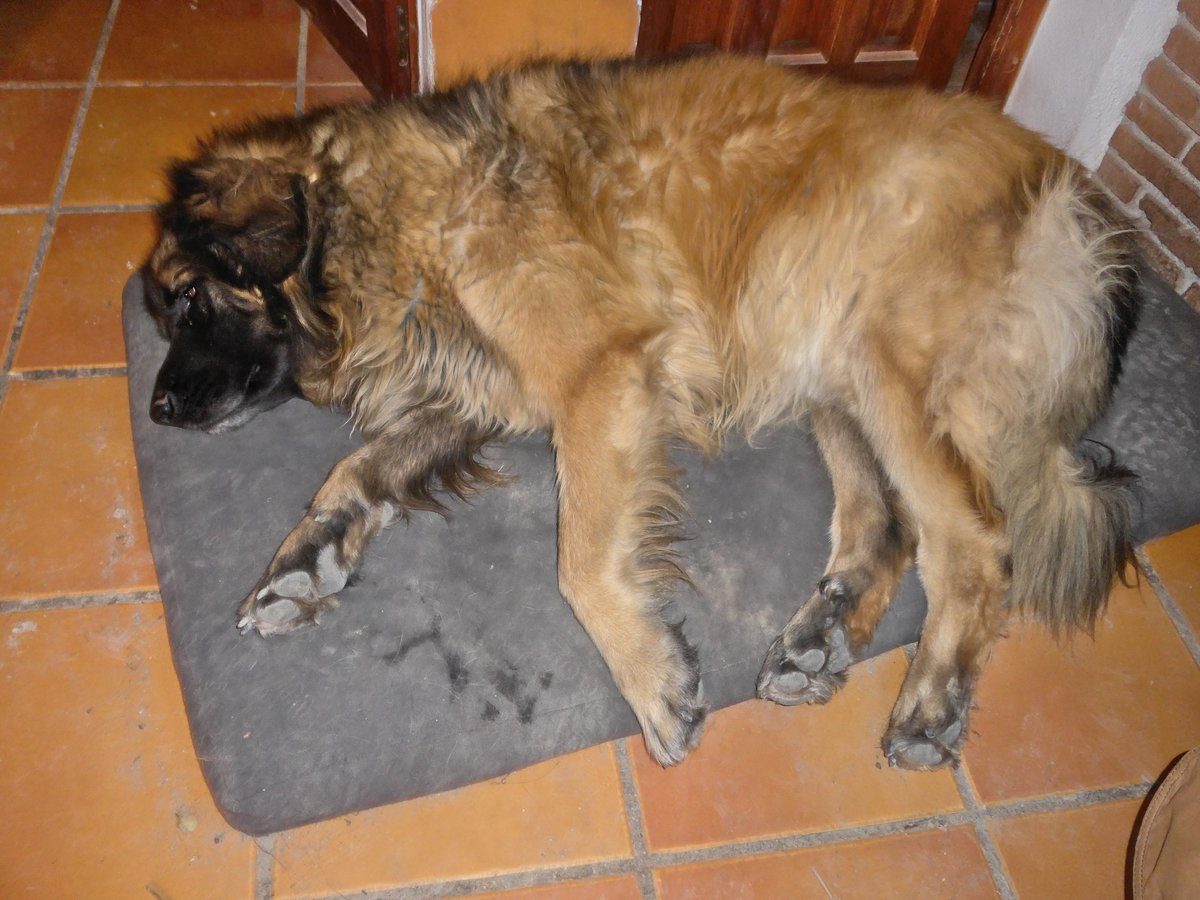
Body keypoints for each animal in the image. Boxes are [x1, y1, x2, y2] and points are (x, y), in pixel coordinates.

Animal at [142, 52, 1142, 772]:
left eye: (188, 300)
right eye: (159, 311)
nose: (153, 408)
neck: (378, 217)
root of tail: (1075, 195)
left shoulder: (598, 373)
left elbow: (581, 560)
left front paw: (650, 674)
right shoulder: (485, 387)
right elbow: (358, 467)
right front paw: (305, 557)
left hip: (887, 362)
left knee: (973, 544)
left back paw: (931, 700)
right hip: (830, 363)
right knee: (886, 526)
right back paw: (820, 638)